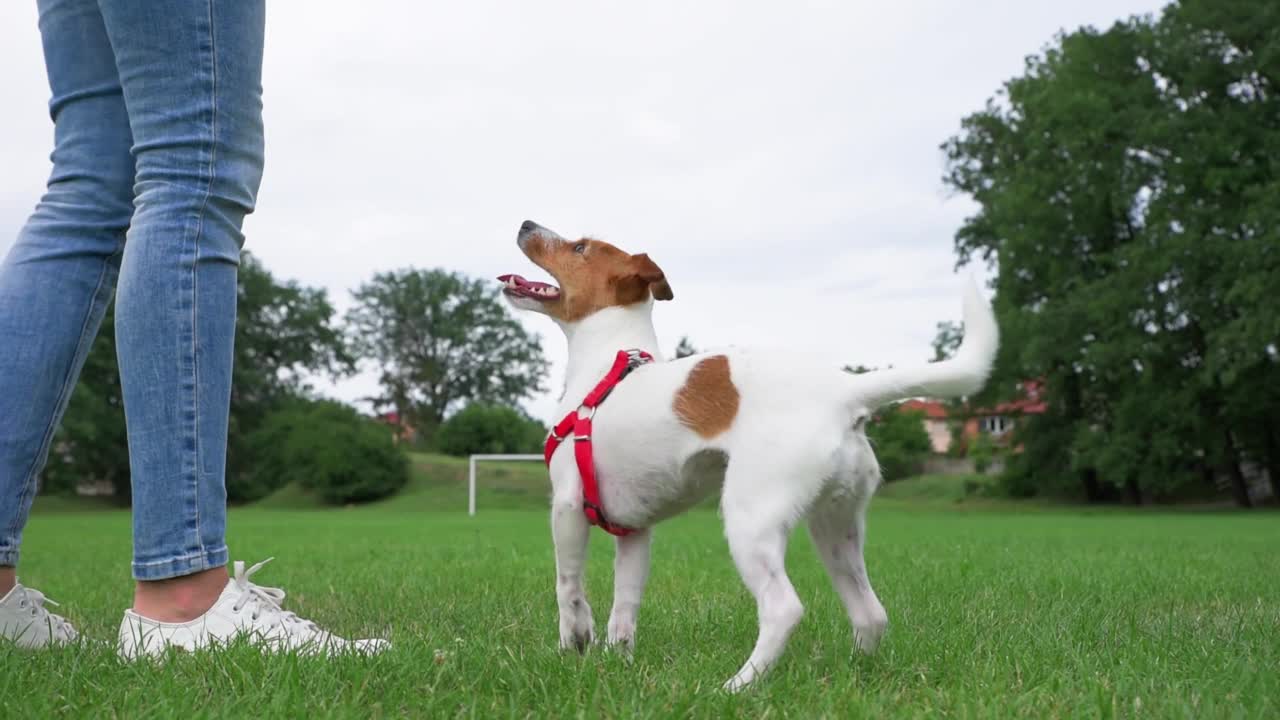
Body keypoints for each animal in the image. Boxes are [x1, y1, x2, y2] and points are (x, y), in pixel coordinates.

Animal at [499, 220, 998, 691]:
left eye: (579, 247)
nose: (524, 224)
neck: (606, 366)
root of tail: (843, 390)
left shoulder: (567, 506)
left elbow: (568, 587)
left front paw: (573, 644)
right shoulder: (635, 530)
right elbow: (624, 608)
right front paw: (616, 662)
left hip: (750, 520)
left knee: (783, 609)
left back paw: (736, 686)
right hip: (835, 529)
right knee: (870, 613)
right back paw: (850, 676)